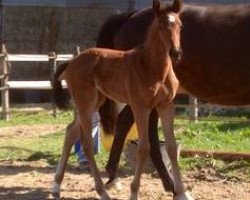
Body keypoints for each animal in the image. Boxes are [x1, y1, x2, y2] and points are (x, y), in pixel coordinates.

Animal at [51, 0, 190, 199]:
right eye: (161, 25)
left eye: (180, 25)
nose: (175, 52)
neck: (152, 66)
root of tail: (71, 62)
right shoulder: (141, 107)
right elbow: (143, 148)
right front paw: (133, 192)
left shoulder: (166, 106)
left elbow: (171, 148)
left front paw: (181, 192)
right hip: (85, 102)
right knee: (86, 143)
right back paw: (102, 191)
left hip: (95, 101)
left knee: (71, 132)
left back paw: (56, 186)